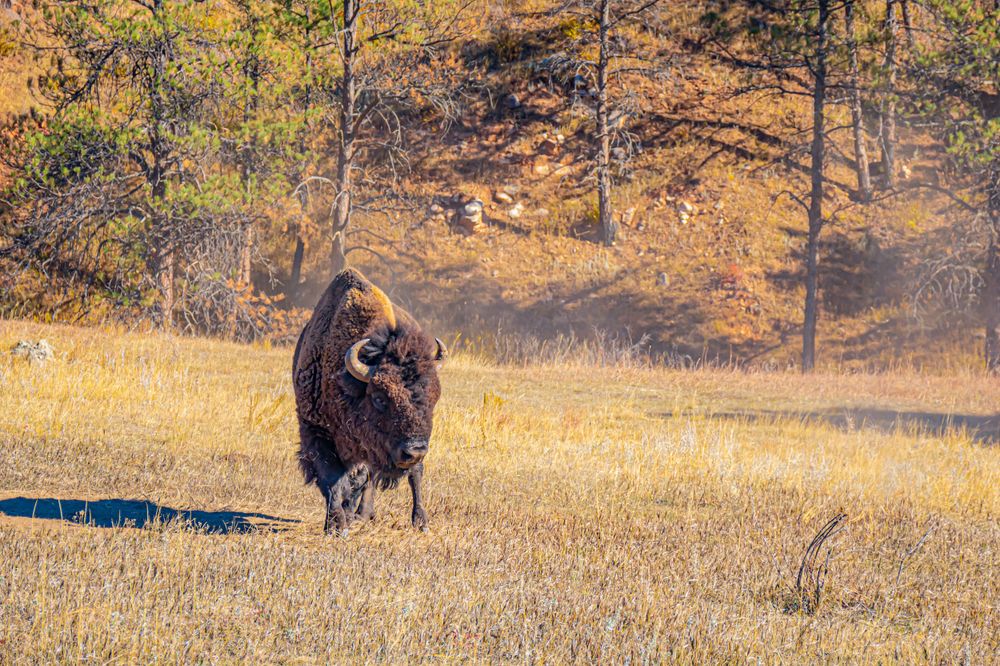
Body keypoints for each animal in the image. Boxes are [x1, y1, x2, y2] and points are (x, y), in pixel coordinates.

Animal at [293, 269, 446, 535]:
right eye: (379, 398)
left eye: (433, 399)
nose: (415, 449)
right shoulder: (315, 431)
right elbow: (334, 480)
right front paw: (336, 524)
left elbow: (356, 481)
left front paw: (342, 521)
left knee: (413, 475)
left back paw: (420, 522)